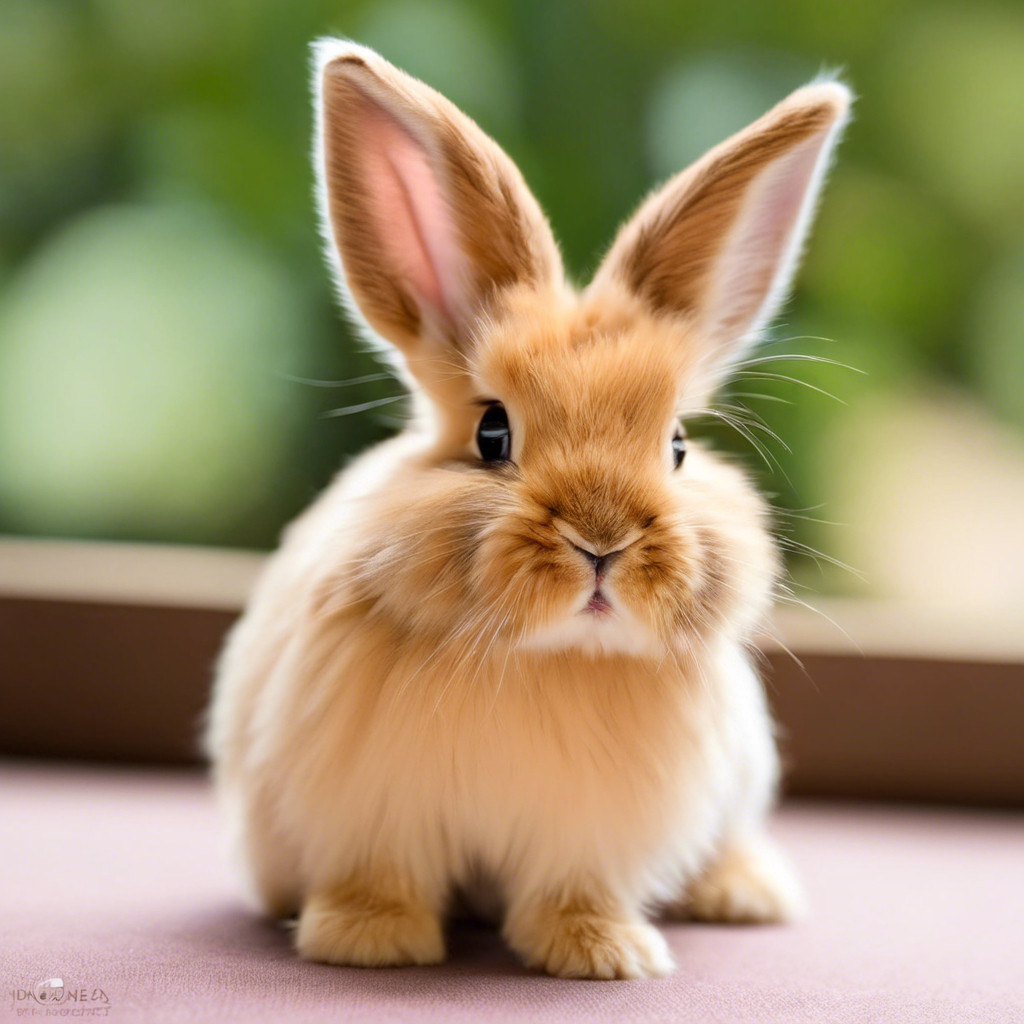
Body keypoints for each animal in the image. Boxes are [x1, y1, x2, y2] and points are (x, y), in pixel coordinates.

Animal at [206, 38, 850, 979]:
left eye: (678, 445)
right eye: (492, 432)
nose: (602, 541)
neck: (546, 657)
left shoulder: (589, 837)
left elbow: (571, 891)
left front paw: (604, 955)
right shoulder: (370, 815)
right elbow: (379, 876)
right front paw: (369, 944)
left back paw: (747, 895)